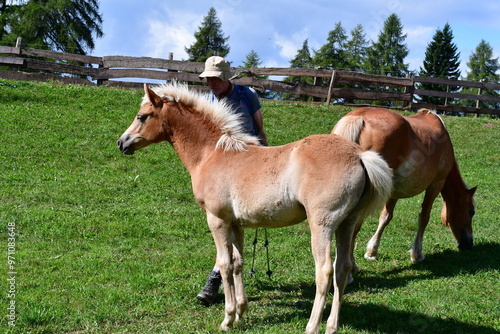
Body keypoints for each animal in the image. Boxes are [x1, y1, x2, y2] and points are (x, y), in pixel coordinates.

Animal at [118, 81, 394, 334]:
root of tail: (360, 155)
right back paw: (331, 326)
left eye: (142, 116)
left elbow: (224, 264)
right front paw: (241, 312)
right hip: (347, 223)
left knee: (324, 271)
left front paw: (228, 317)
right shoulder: (236, 223)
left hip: (322, 225)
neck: (213, 154)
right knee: (342, 269)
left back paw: (312, 326)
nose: (122, 143)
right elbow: (238, 262)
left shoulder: (216, 219)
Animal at [332, 107, 476, 266]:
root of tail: (359, 117)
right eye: (471, 212)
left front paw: (372, 252)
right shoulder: (436, 184)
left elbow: (385, 217)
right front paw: (417, 254)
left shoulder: (394, 191)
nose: (468, 244)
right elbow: (424, 217)